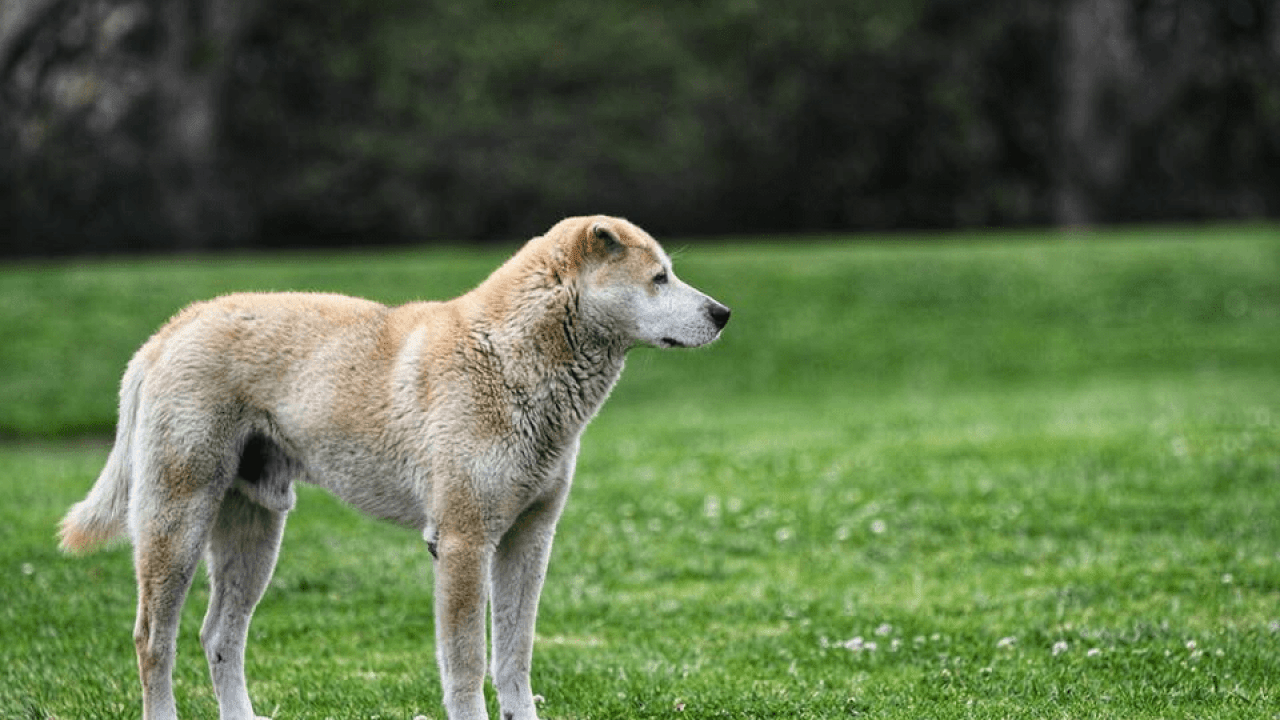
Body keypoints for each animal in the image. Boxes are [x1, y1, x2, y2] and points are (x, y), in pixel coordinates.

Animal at [57, 215, 732, 717]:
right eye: (659, 278)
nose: (723, 313)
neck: (508, 359)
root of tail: (169, 332)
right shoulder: (462, 542)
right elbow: (467, 663)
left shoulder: (530, 538)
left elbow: (515, 657)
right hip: (177, 520)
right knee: (154, 640)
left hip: (255, 529)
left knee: (219, 637)